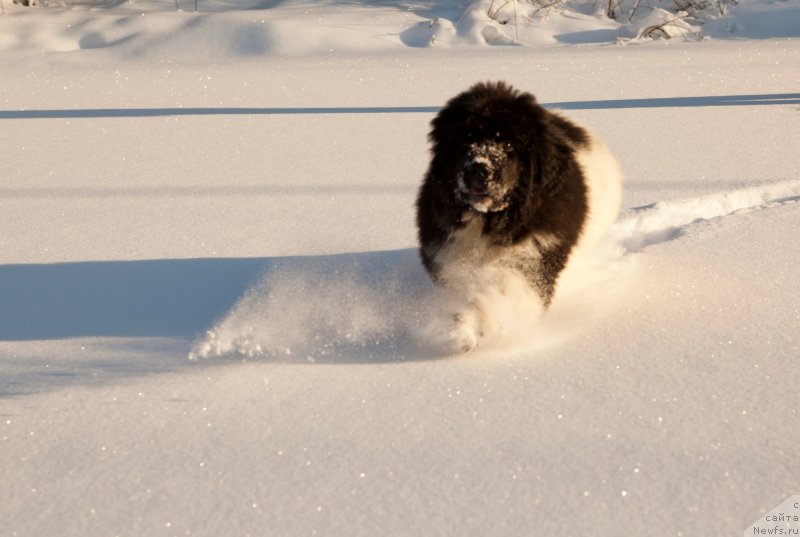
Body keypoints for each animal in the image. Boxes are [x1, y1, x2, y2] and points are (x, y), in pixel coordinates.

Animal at [416, 80, 620, 352]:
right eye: (465, 139)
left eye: (509, 144)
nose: (478, 169)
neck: (488, 220)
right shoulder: (447, 251)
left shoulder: (533, 254)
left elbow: (501, 290)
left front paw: (469, 327)